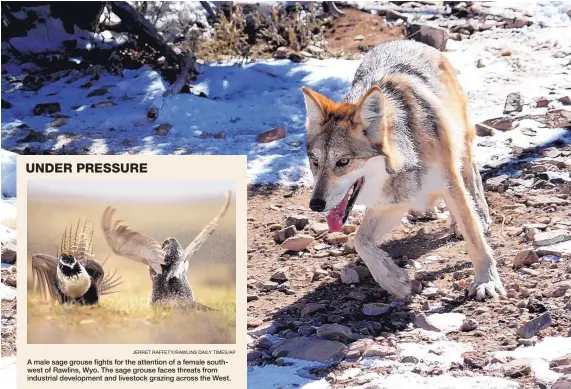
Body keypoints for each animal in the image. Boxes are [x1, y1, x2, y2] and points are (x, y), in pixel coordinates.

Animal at [302, 39, 508, 300]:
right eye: (315, 162)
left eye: (343, 162)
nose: (315, 204)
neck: (409, 151)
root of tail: (408, 41)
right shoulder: (394, 200)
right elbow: (360, 241)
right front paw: (393, 280)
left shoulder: (448, 182)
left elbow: (475, 239)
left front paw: (486, 281)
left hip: (461, 141)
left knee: (471, 173)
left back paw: (480, 214)